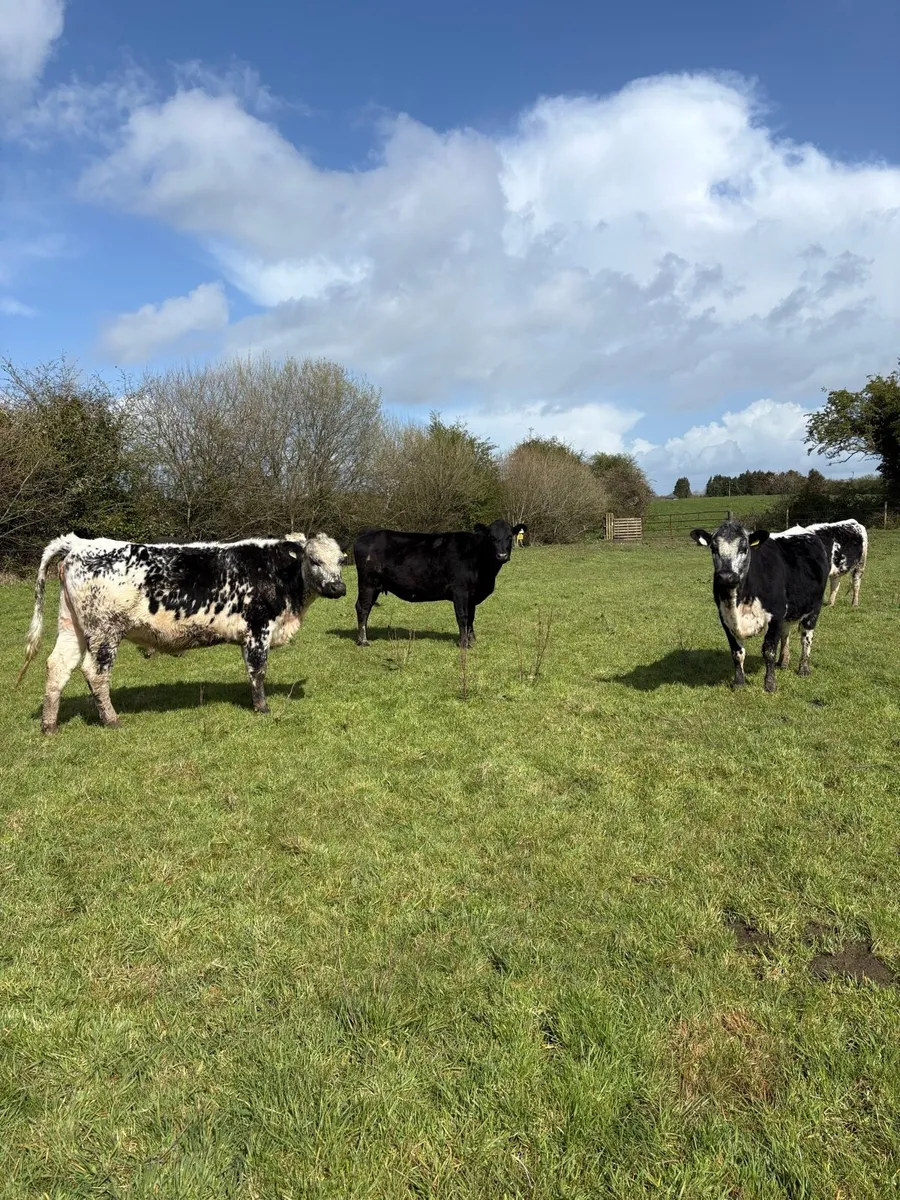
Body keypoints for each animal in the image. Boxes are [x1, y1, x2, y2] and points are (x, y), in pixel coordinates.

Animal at [16, 531, 347, 734]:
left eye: (342, 560)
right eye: (314, 560)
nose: (338, 587)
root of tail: (79, 543)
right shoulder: (258, 628)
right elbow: (258, 671)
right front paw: (262, 708)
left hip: (71, 626)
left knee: (57, 666)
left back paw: (49, 726)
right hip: (104, 631)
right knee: (94, 673)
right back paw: (111, 720)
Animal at [353, 520, 526, 649]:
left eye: (510, 536)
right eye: (491, 537)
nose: (502, 555)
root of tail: (365, 535)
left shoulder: (472, 595)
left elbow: (471, 618)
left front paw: (472, 641)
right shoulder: (460, 591)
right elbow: (462, 617)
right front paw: (463, 643)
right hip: (368, 583)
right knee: (363, 608)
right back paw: (363, 640)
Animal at [690, 521, 829, 692]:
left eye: (744, 548)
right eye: (713, 548)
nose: (726, 576)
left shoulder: (775, 616)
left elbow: (768, 651)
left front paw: (770, 684)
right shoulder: (725, 618)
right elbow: (737, 653)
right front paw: (739, 683)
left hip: (814, 608)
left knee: (806, 638)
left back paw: (804, 668)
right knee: (785, 634)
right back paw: (783, 661)